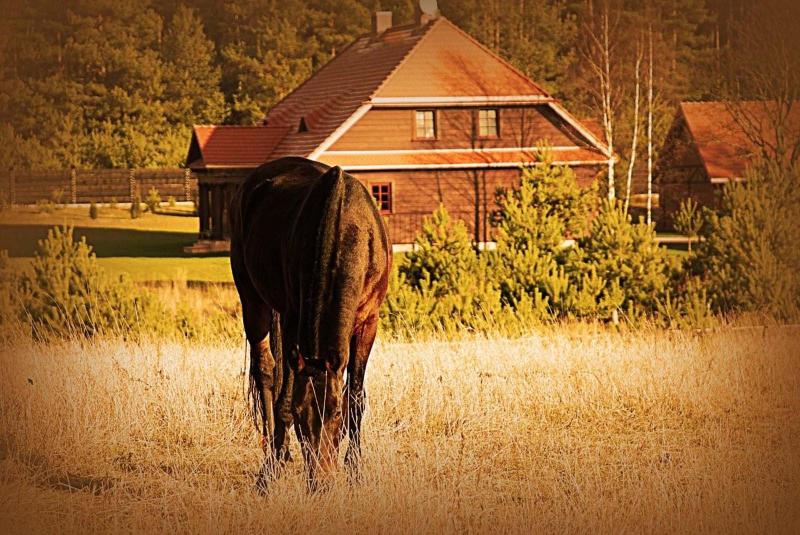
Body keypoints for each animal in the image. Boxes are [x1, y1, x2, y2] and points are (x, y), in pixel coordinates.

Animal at [228, 155, 390, 490]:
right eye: (302, 418)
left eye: (336, 415)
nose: (321, 484)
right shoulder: (293, 320)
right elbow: (285, 399)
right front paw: (271, 470)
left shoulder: (369, 321)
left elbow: (356, 396)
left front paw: (355, 472)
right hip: (252, 299)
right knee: (265, 371)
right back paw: (272, 456)